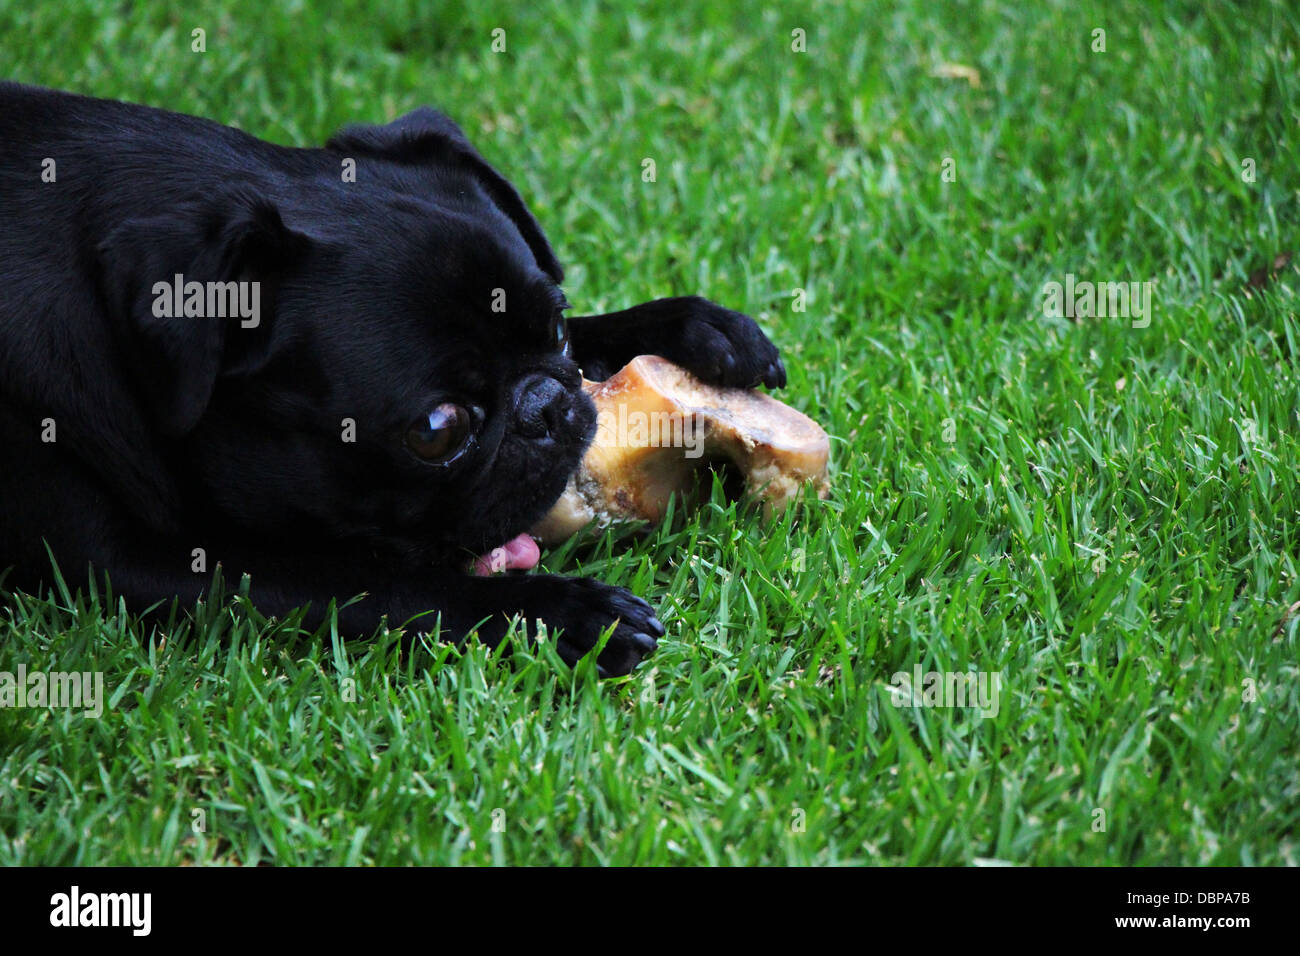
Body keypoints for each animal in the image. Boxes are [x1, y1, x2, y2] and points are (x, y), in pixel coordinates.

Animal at [0, 85, 780, 676]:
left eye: (557, 329)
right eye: (437, 430)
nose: (550, 407)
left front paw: (697, 328)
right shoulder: (125, 562)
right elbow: (378, 581)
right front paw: (564, 614)